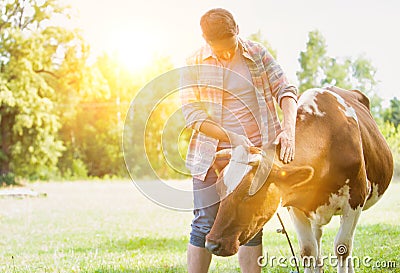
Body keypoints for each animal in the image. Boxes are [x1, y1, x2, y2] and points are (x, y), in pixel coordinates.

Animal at [205, 85, 392, 272]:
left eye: (248, 194)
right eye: (219, 191)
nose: (211, 244)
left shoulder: (356, 199)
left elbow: (342, 248)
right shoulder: (294, 206)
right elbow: (308, 251)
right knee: (317, 238)